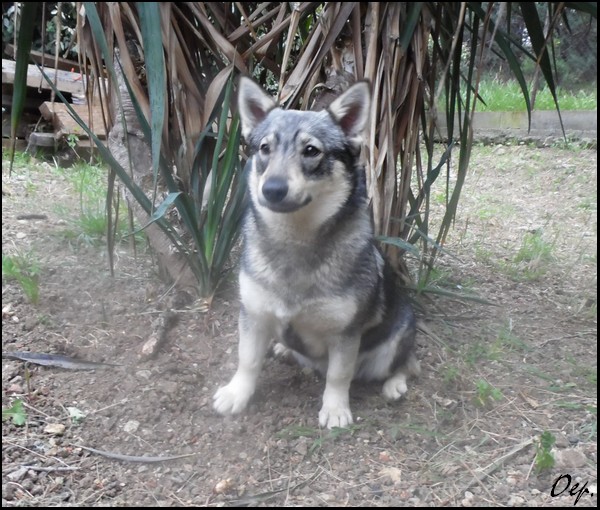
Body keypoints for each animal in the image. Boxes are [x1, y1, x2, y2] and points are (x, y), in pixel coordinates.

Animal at [213, 76, 420, 426]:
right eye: (264, 148)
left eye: (311, 151)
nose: (272, 189)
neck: (295, 242)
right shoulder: (253, 315)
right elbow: (248, 360)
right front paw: (237, 393)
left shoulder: (345, 334)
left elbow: (338, 375)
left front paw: (335, 409)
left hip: (395, 341)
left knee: (403, 365)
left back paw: (395, 385)